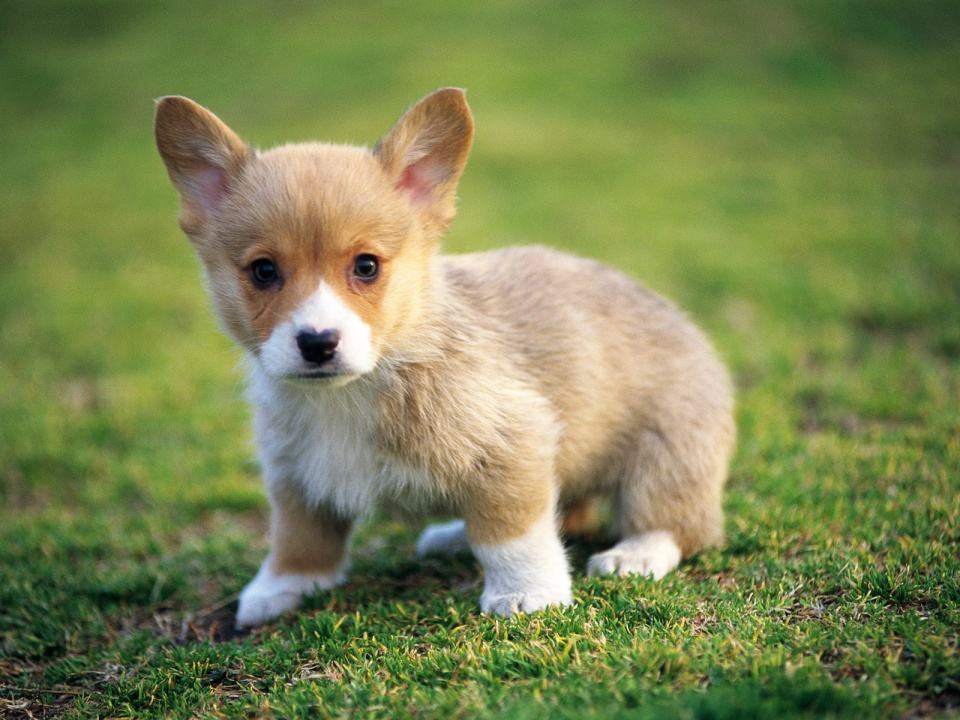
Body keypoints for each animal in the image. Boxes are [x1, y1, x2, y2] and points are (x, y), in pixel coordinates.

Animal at [156, 87, 736, 628]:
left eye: (366, 266)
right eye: (263, 271)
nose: (318, 342)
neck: (355, 389)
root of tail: (684, 322)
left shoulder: (514, 443)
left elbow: (511, 531)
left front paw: (526, 593)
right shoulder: (295, 475)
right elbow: (299, 537)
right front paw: (278, 588)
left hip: (667, 456)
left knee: (675, 523)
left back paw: (635, 555)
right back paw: (455, 532)